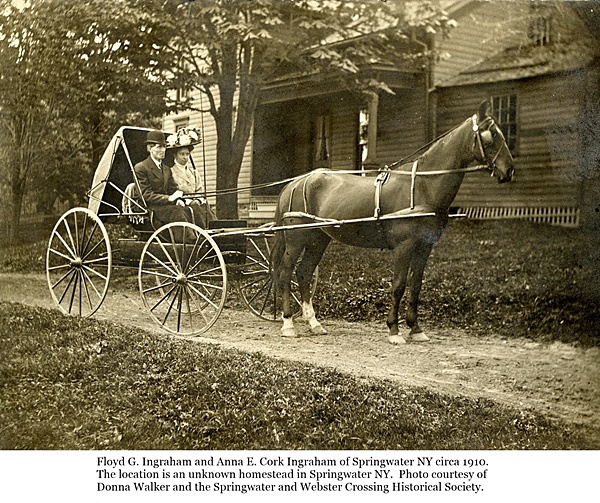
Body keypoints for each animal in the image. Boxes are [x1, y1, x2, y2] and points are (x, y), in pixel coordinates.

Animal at [270, 102, 512, 346]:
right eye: (491, 135)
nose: (509, 170)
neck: (422, 186)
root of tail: (294, 183)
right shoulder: (404, 246)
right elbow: (399, 285)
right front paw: (394, 330)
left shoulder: (425, 246)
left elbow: (416, 285)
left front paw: (416, 329)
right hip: (296, 239)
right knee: (285, 272)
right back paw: (288, 323)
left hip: (318, 239)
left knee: (304, 272)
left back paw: (314, 323)